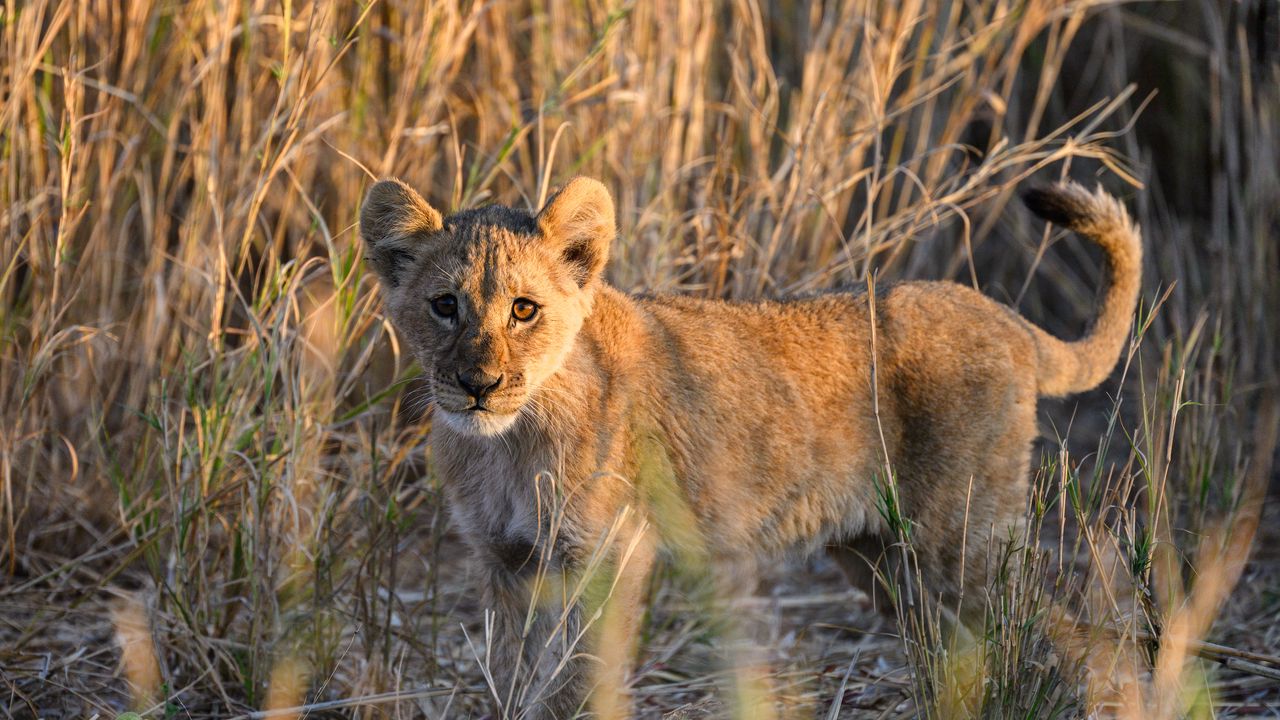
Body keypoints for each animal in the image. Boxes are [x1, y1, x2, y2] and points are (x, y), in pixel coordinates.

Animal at [359, 176, 1141, 719]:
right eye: (444, 306)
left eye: (524, 309)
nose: (478, 385)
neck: (509, 444)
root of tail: (1007, 317)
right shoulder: (505, 561)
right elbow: (514, 671)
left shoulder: (612, 551)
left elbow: (580, 679)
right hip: (886, 562)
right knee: (967, 647)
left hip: (964, 538)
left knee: (1074, 634)